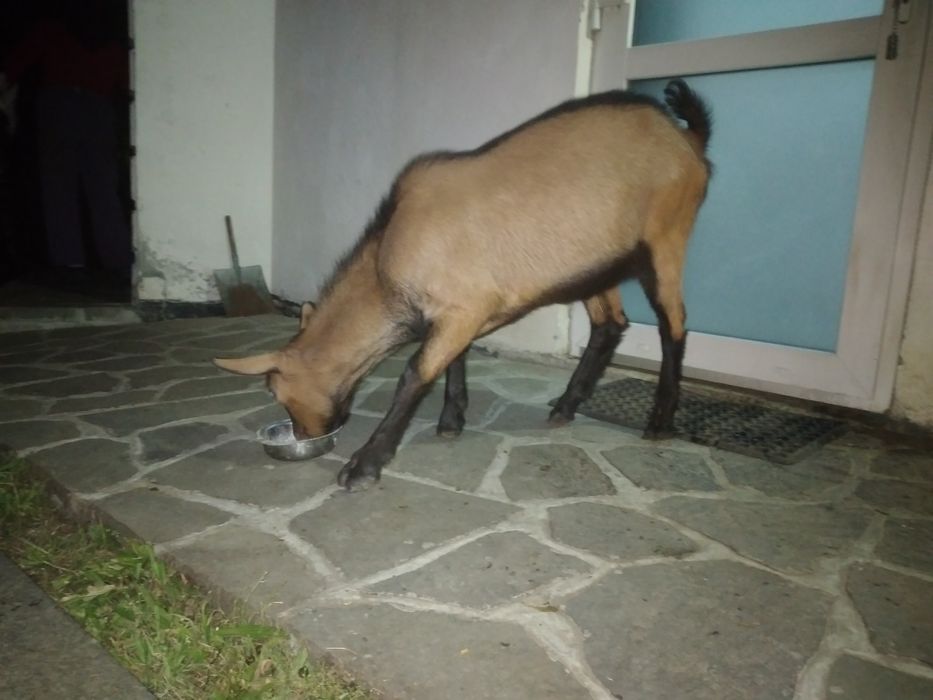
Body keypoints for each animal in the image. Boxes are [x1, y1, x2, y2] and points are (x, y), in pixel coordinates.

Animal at [215, 79, 713, 491]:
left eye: (274, 390)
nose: (303, 434)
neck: (386, 259)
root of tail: (687, 140)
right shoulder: (461, 312)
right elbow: (454, 360)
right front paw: (452, 419)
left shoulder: (463, 307)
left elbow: (416, 372)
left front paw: (365, 465)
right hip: (596, 264)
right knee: (611, 323)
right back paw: (567, 405)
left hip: (665, 238)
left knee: (674, 324)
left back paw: (659, 420)